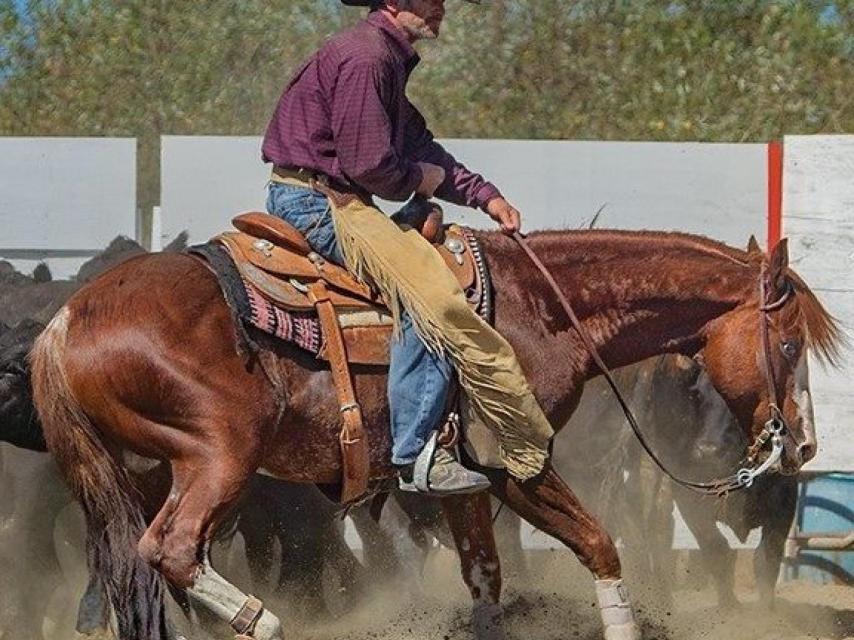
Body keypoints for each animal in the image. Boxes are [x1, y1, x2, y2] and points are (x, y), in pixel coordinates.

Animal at [30, 227, 840, 640]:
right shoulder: (518, 462)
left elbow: (486, 578)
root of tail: (65, 321)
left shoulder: (465, 481)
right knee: (170, 550)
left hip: (148, 472)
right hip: (220, 457)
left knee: (143, 571)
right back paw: (265, 624)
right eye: (790, 344)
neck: (539, 306)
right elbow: (600, 546)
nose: (803, 447)